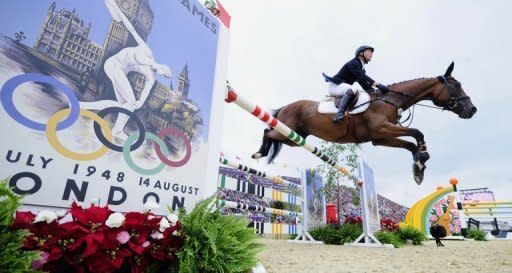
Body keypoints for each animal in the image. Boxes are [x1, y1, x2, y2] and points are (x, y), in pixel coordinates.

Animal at [251, 62, 476, 184]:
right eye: (456, 85)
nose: (472, 110)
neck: (390, 99)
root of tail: (286, 106)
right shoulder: (382, 129)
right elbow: (417, 132)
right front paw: (422, 158)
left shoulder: (380, 137)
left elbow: (410, 143)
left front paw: (418, 167)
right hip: (287, 132)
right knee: (267, 131)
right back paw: (259, 153)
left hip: (294, 138)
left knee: (272, 133)